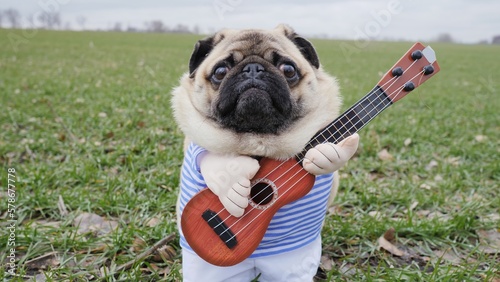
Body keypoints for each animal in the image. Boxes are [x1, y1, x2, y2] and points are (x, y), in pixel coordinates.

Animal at [173, 24, 360, 282]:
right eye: (220, 71)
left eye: (288, 69)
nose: (253, 69)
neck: (258, 139)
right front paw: (231, 180)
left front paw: (327, 156)